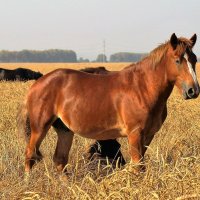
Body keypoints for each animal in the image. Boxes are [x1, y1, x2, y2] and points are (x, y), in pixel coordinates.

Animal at [18, 33, 198, 174]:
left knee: (59, 160)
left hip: (64, 130)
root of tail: (37, 84)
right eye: (177, 60)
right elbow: (138, 166)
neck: (142, 87)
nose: (193, 91)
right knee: (30, 155)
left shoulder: (148, 135)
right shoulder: (135, 134)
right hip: (39, 127)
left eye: (194, 60)